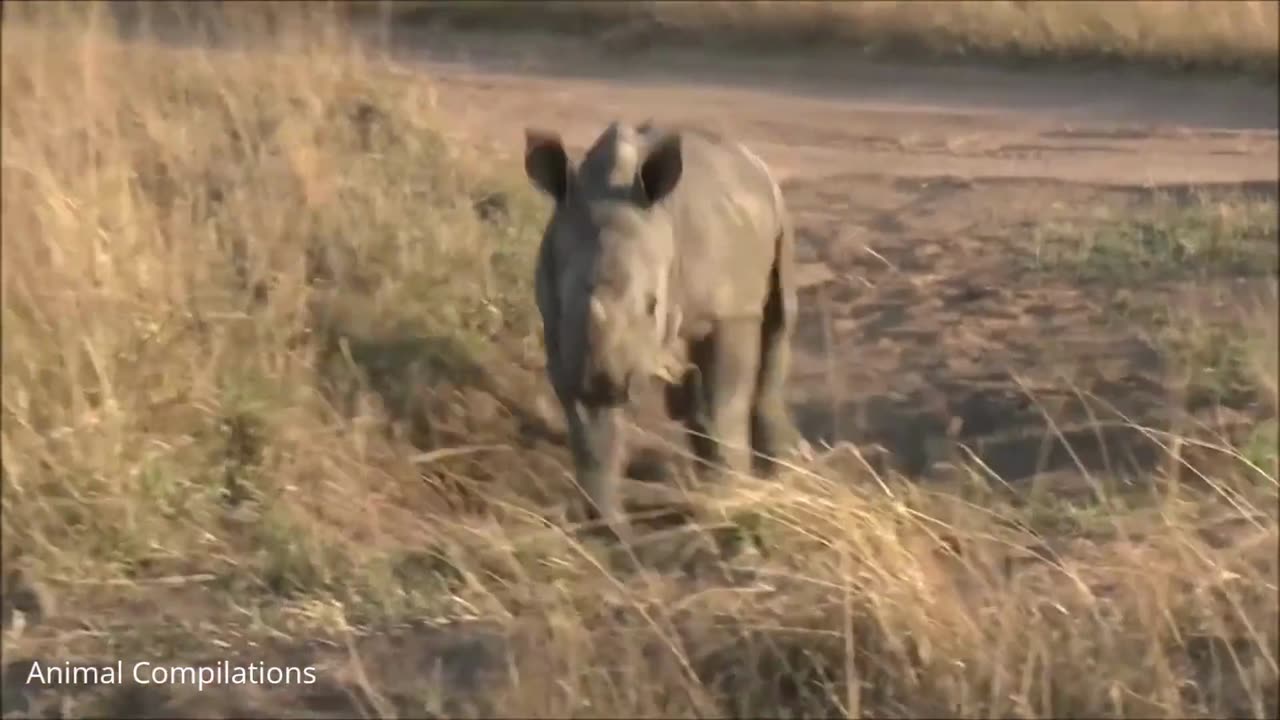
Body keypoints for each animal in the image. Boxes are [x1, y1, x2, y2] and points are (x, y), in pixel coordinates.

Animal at [524, 119, 793, 532]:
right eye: (567, 304)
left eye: (653, 306)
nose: (606, 381)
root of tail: (748, 157)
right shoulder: (557, 321)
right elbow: (591, 426)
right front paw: (607, 527)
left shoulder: (730, 309)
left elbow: (726, 399)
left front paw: (729, 500)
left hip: (775, 216)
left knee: (778, 323)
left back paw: (778, 474)